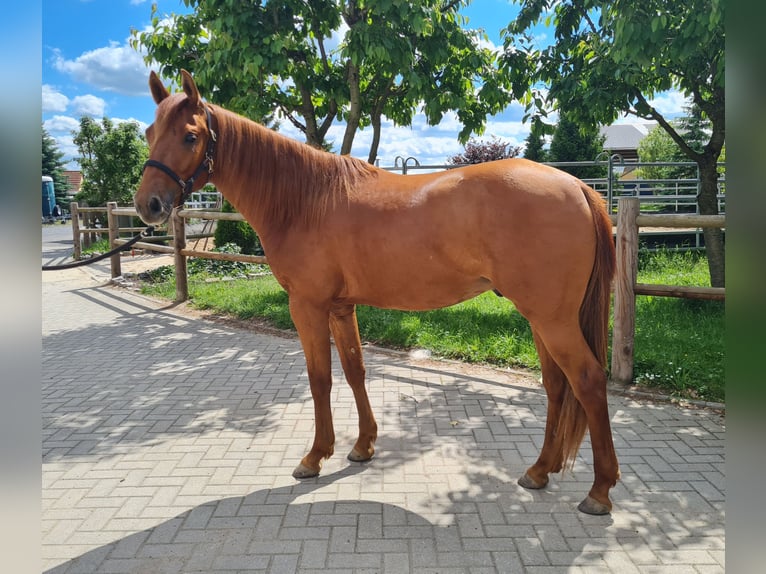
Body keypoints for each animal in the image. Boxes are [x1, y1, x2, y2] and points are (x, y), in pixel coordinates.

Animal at [135, 70, 619, 515]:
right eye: (149, 134)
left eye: (190, 136)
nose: (148, 206)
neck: (305, 200)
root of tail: (577, 186)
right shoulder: (340, 307)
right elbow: (354, 371)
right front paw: (363, 446)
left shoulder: (307, 306)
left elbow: (320, 378)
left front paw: (315, 457)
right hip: (541, 317)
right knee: (557, 386)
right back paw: (539, 470)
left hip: (553, 320)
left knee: (588, 382)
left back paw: (599, 491)